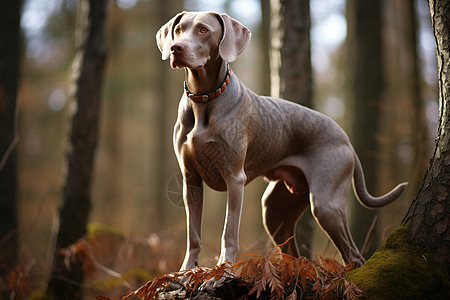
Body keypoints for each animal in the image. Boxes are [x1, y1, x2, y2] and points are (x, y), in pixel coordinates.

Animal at [156, 11, 408, 270]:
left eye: (204, 30)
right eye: (178, 30)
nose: (176, 48)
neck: (203, 98)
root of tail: (346, 140)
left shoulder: (234, 178)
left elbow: (229, 231)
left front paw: (224, 266)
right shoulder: (191, 180)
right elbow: (193, 234)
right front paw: (186, 270)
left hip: (326, 203)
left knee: (354, 255)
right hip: (275, 210)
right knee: (295, 252)